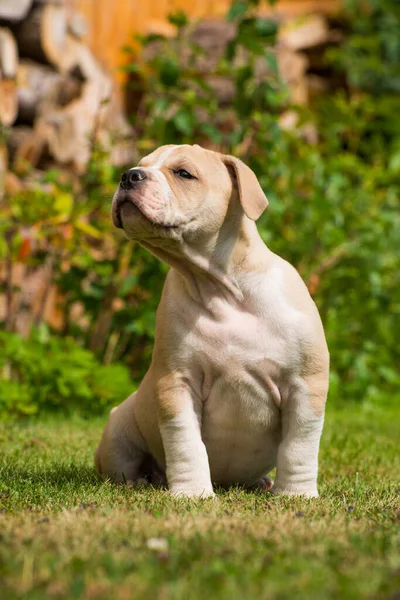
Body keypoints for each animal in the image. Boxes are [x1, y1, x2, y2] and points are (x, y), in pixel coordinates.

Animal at [95, 144, 330, 496]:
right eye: (140, 165)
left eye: (183, 173)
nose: (129, 176)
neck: (222, 287)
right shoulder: (176, 382)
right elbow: (185, 442)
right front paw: (193, 492)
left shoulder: (306, 383)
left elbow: (299, 445)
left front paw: (296, 493)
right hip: (118, 429)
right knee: (122, 464)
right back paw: (140, 481)